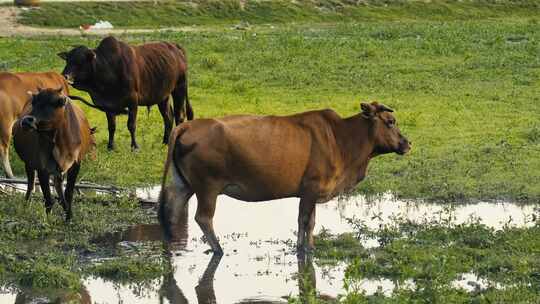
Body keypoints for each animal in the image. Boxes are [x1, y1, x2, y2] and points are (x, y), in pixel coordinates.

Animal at [13, 88, 96, 221]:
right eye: (34, 103)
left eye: (53, 103)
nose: (26, 120)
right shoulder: (42, 166)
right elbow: (48, 198)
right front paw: (48, 220)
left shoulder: (76, 164)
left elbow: (68, 193)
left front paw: (69, 217)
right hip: (29, 163)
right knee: (31, 184)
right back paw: (26, 204)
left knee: (58, 185)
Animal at [58, 35, 193, 151]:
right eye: (67, 60)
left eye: (80, 61)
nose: (64, 76)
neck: (108, 68)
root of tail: (175, 46)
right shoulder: (108, 105)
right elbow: (111, 126)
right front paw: (110, 146)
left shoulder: (133, 101)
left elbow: (131, 125)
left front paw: (135, 147)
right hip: (163, 96)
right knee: (168, 117)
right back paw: (165, 142)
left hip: (179, 88)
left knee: (179, 116)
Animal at [158, 101, 412, 254]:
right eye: (391, 122)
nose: (407, 143)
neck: (341, 139)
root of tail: (187, 126)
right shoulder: (310, 188)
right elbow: (304, 220)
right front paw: (302, 250)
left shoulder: (313, 192)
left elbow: (311, 222)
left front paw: (309, 246)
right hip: (207, 187)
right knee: (203, 217)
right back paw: (218, 249)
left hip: (185, 184)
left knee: (172, 208)